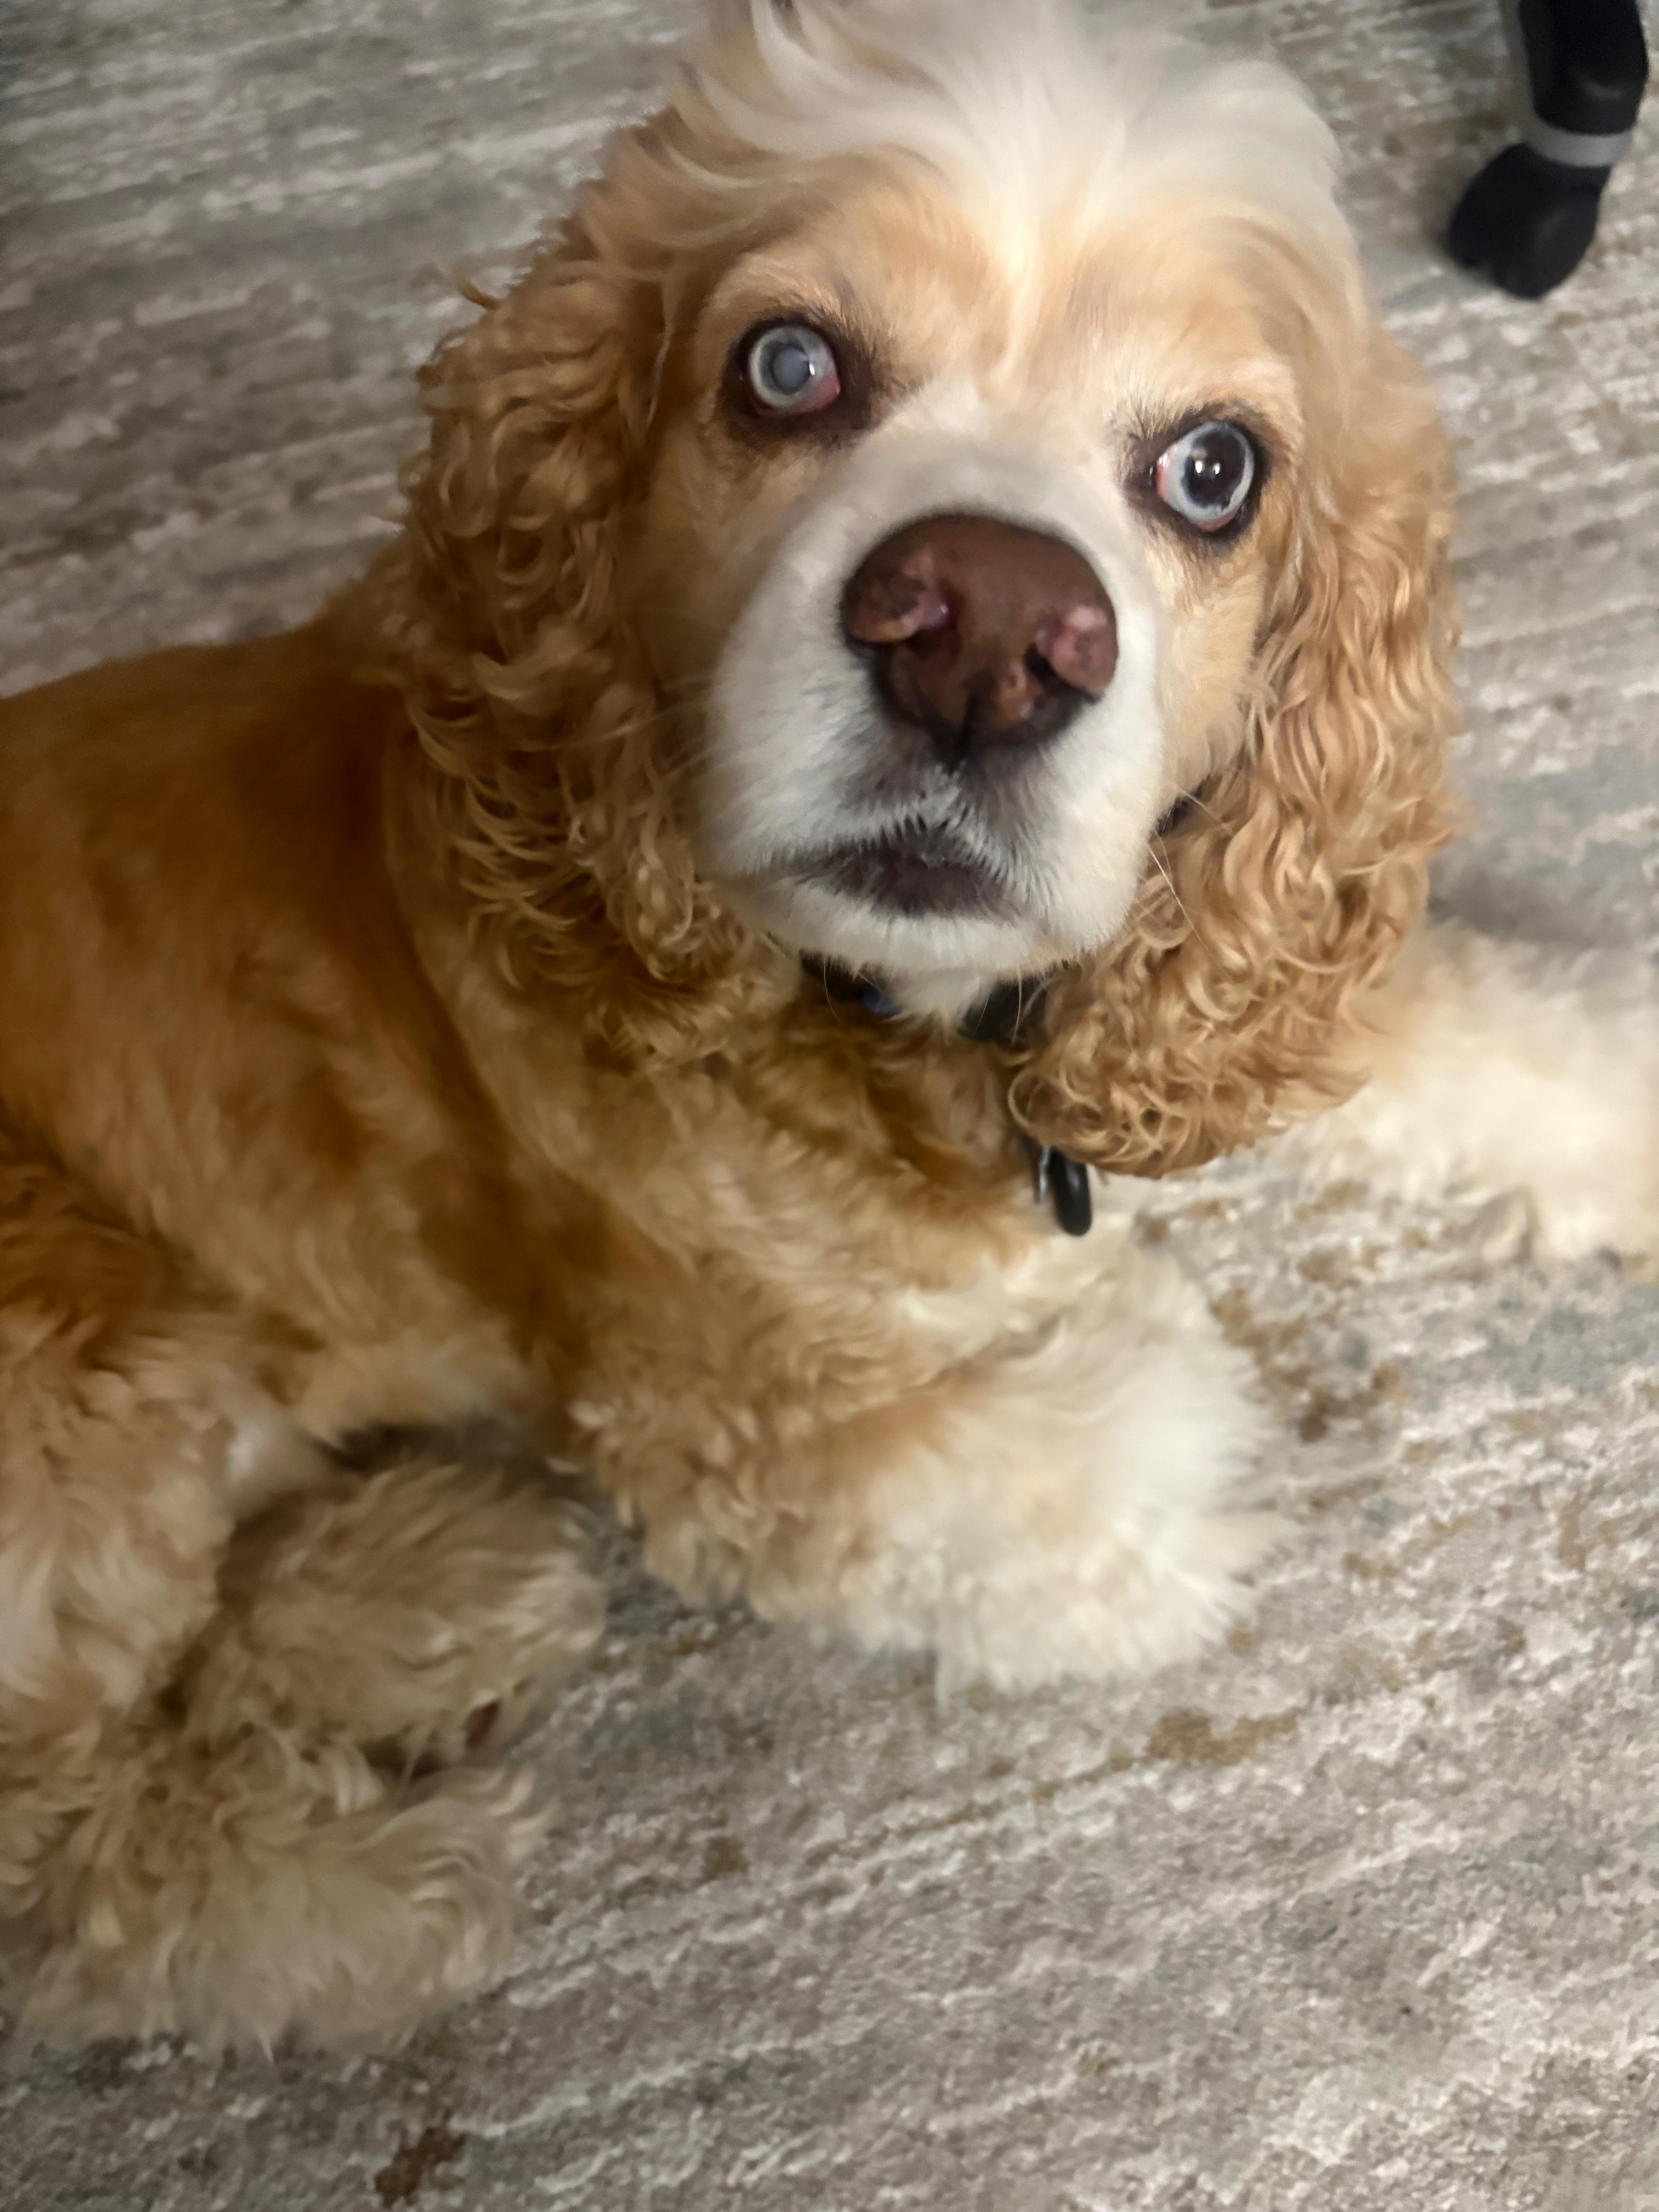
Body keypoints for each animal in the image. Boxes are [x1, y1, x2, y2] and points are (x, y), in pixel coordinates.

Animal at [2, 0, 1655, 2049]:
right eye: (787, 368)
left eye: (1215, 470)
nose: (991, 637)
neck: (899, 1031)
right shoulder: (723, 1431)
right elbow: (1123, 1463)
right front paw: (1145, 1352)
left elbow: (1439, 1031)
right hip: (79, 1348)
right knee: (65, 1858)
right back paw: (388, 1891)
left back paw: (423, 1588)